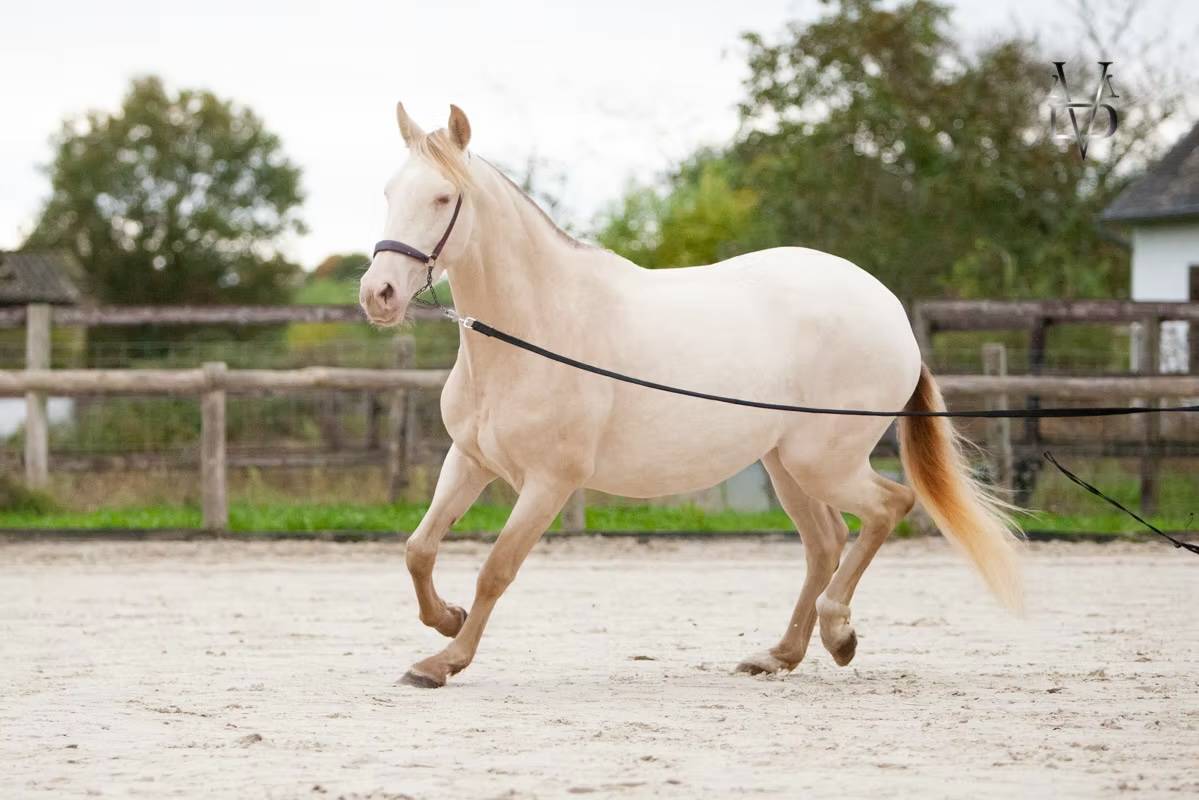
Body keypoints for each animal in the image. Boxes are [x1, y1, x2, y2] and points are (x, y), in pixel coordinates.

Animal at [359, 103, 1022, 688]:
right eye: (388, 193)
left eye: (443, 198)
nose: (378, 295)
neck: (536, 328)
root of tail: (892, 314)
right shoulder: (470, 461)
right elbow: (418, 549)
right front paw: (446, 620)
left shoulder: (550, 482)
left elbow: (497, 570)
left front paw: (443, 662)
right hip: (784, 464)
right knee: (825, 542)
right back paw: (778, 655)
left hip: (821, 461)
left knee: (889, 507)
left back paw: (839, 633)